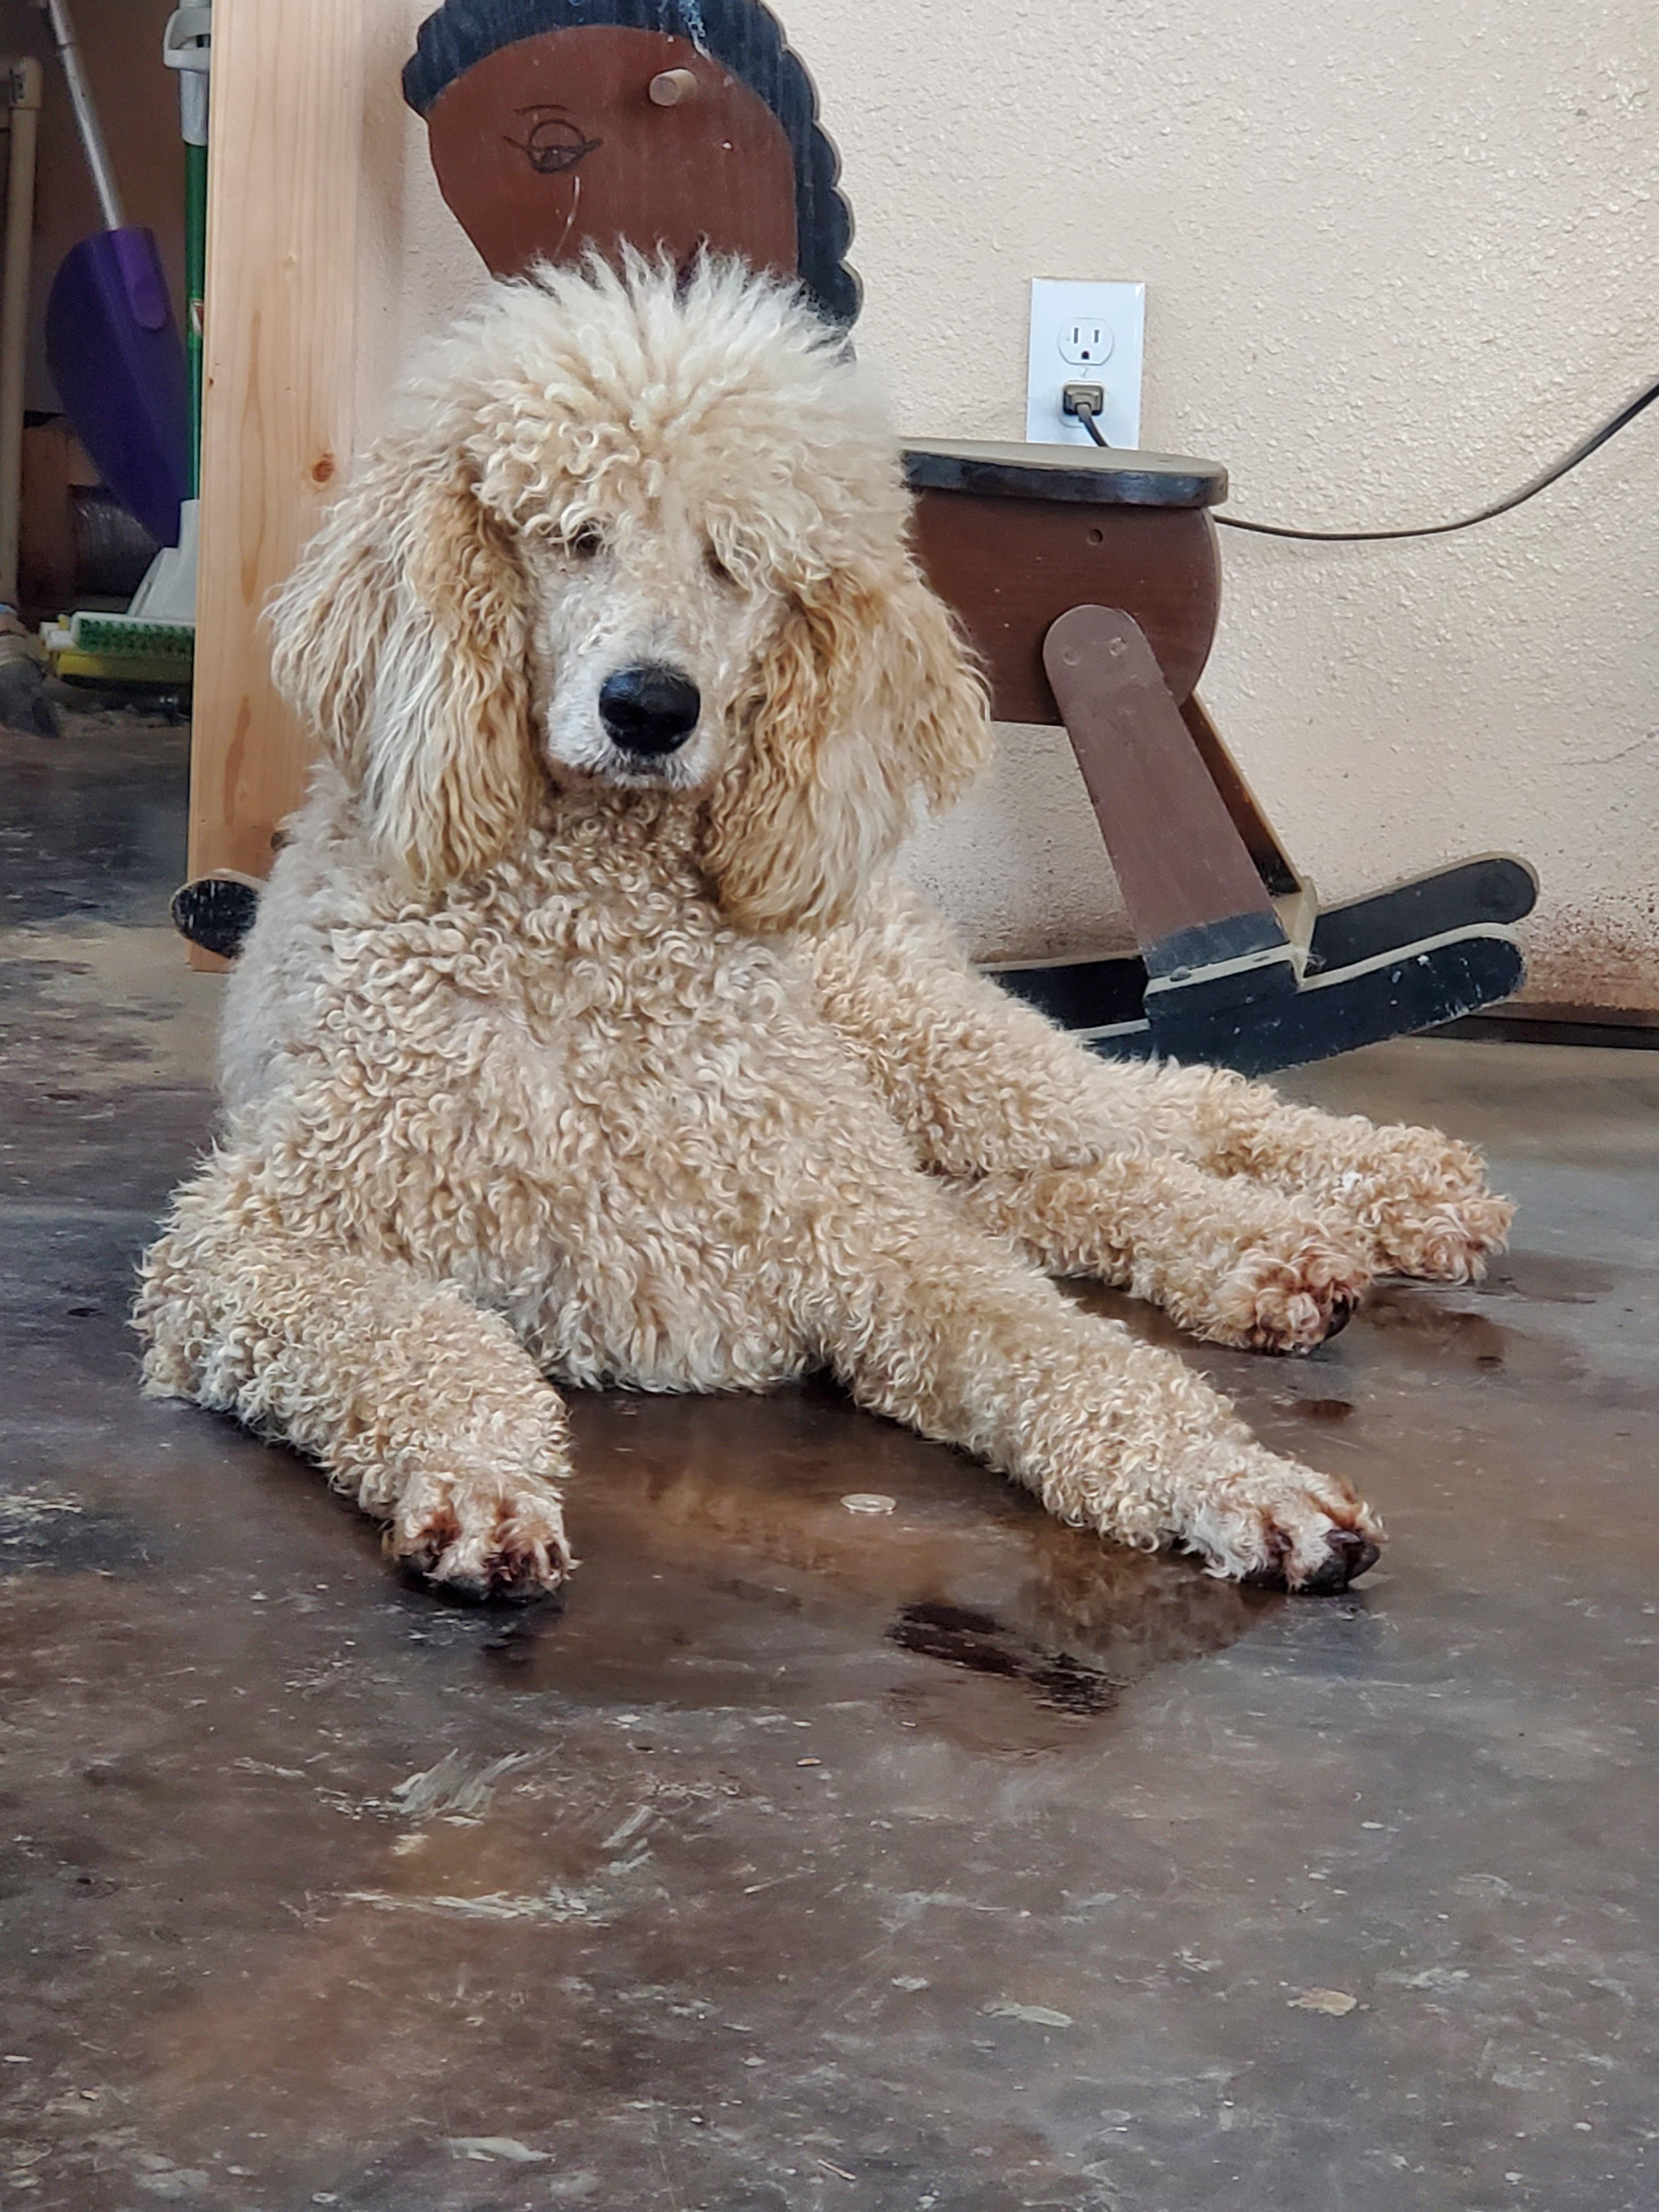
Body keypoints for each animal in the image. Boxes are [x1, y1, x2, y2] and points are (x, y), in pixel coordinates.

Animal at [135, 257, 1512, 1601]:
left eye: (737, 562)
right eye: (573, 538)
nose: (650, 708)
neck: (591, 936)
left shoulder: (866, 1240)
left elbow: (1071, 1354)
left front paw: (1230, 1480)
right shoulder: (254, 1240)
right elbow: (422, 1340)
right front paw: (478, 1483)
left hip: (928, 1057)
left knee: (1173, 1101)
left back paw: (1398, 1194)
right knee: (1066, 1182)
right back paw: (1275, 1256)